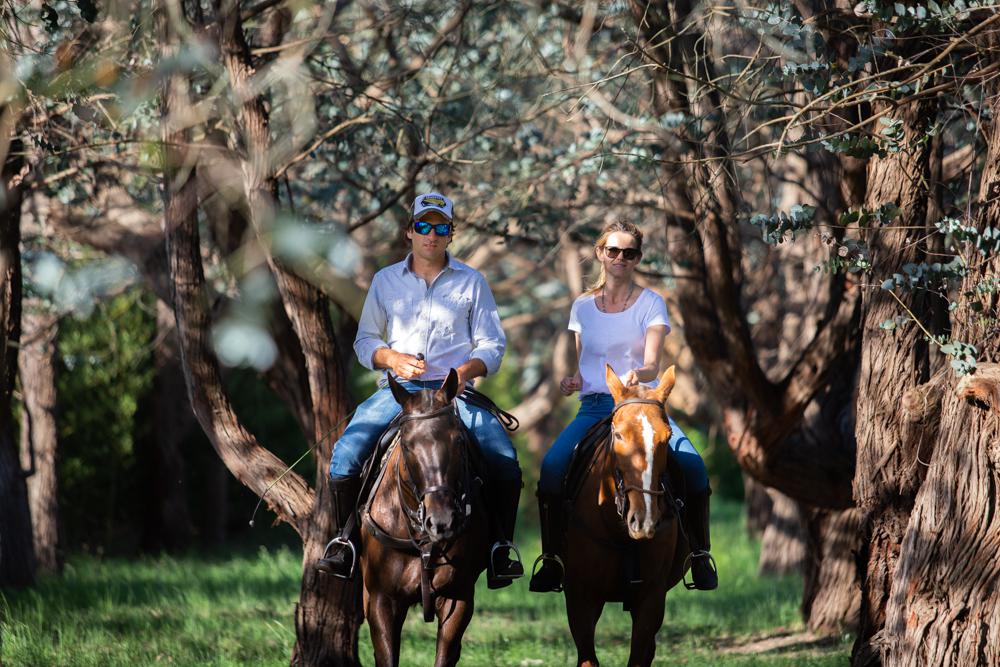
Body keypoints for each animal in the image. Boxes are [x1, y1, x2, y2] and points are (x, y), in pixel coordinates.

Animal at [564, 366, 688, 667]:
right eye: (618, 435)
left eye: (666, 437)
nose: (643, 521)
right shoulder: (580, 598)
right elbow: (588, 658)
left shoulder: (651, 598)